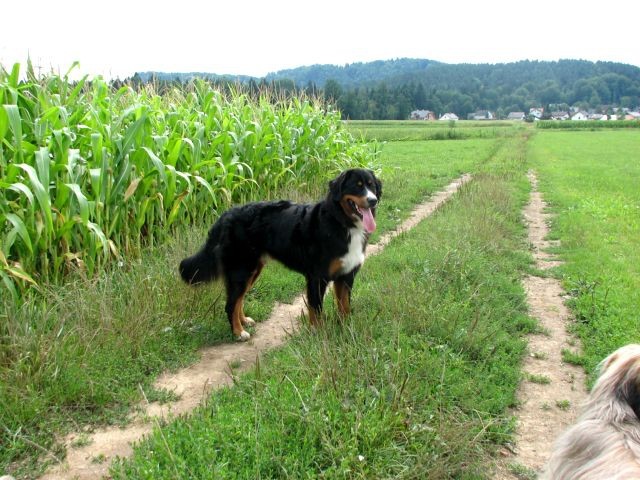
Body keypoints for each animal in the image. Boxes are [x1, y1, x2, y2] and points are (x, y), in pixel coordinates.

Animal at [178, 169, 382, 342]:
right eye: (357, 185)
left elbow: (345, 306)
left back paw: (244, 321)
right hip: (241, 269)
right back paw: (238, 332)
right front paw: (318, 333)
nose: (373, 200)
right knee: (230, 303)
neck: (341, 222)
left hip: (252, 270)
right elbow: (316, 309)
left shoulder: (346, 275)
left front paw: (347, 329)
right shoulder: (317, 277)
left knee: (238, 300)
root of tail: (226, 214)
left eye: (371, 185)